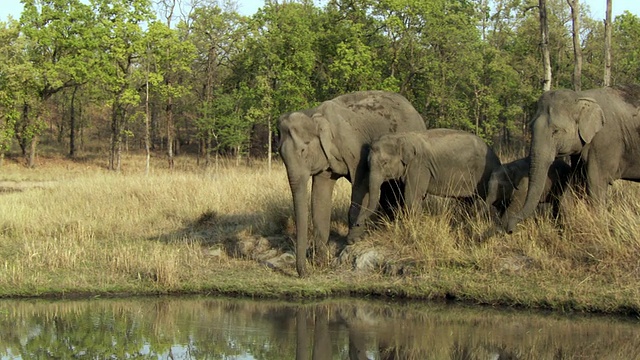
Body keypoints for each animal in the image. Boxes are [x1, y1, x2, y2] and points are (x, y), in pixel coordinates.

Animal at [278, 90, 424, 276]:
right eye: (280, 153)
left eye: (303, 150)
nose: (305, 273)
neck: (315, 115)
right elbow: (320, 195)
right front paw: (321, 260)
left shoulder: (356, 148)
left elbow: (360, 185)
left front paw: (353, 240)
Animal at [348, 128, 502, 243]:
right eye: (367, 163)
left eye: (384, 163)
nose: (357, 223)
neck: (401, 138)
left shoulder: (419, 165)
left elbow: (411, 197)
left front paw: (413, 234)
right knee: (467, 201)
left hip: (482, 174)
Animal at [504, 86, 640, 235]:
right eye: (531, 128)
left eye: (556, 131)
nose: (510, 230)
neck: (581, 97)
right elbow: (575, 181)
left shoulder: (605, 142)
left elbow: (596, 183)